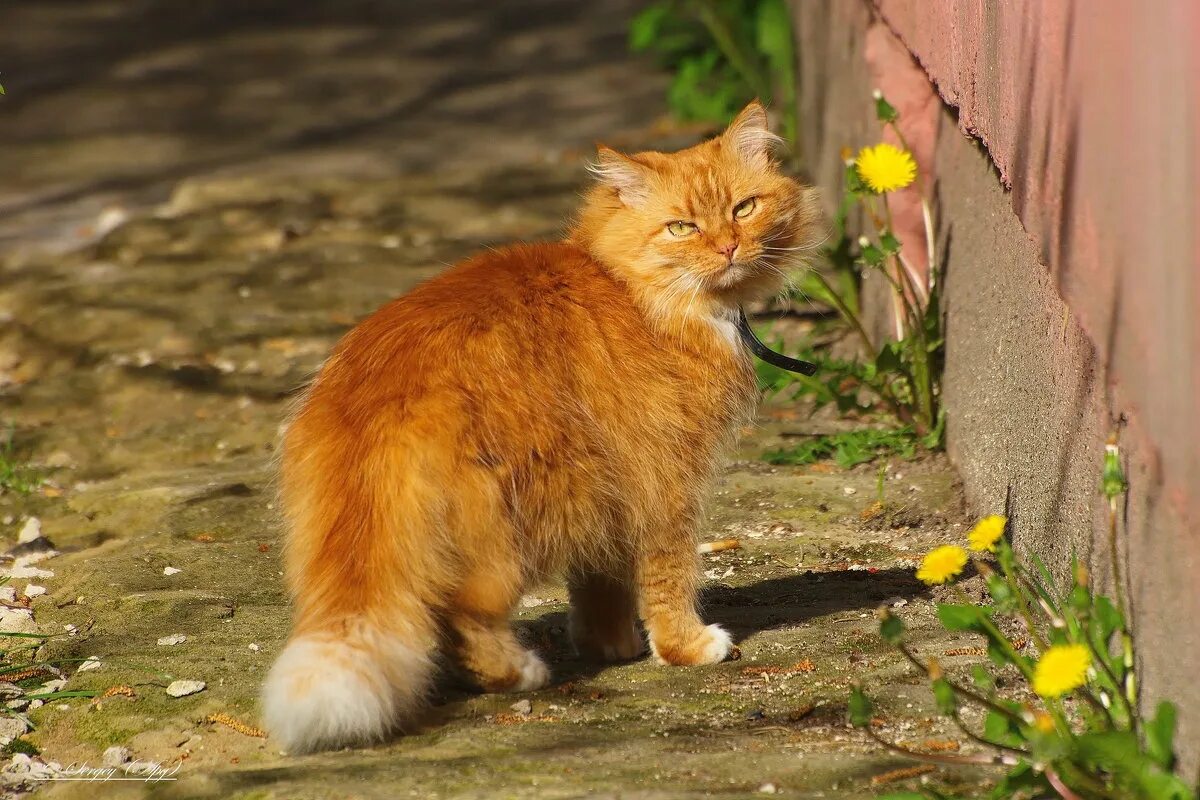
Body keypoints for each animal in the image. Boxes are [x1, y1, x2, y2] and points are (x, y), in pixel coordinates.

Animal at [262, 101, 825, 753]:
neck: (633, 292)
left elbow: (602, 581)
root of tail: (377, 392)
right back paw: (520, 673)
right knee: (464, 612)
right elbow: (669, 575)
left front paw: (613, 646)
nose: (729, 247)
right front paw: (683, 647)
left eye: (743, 208)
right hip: (520, 520)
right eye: (682, 228)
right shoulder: (663, 480)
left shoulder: (611, 487)